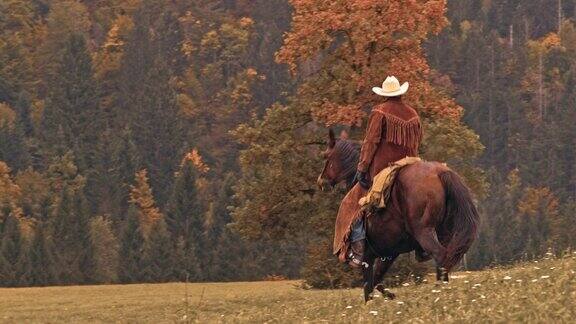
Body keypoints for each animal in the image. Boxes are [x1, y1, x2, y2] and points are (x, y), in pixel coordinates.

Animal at [318, 130, 480, 302]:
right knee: (445, 258)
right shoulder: (390, 253)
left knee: (441, 255)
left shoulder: (368, 258)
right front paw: (390, 295)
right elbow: (376, 281)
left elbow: (368, 289)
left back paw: (438, 293)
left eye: (326, 156)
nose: (321, 182)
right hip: (444, 233)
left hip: (424, 232)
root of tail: (440, 172)